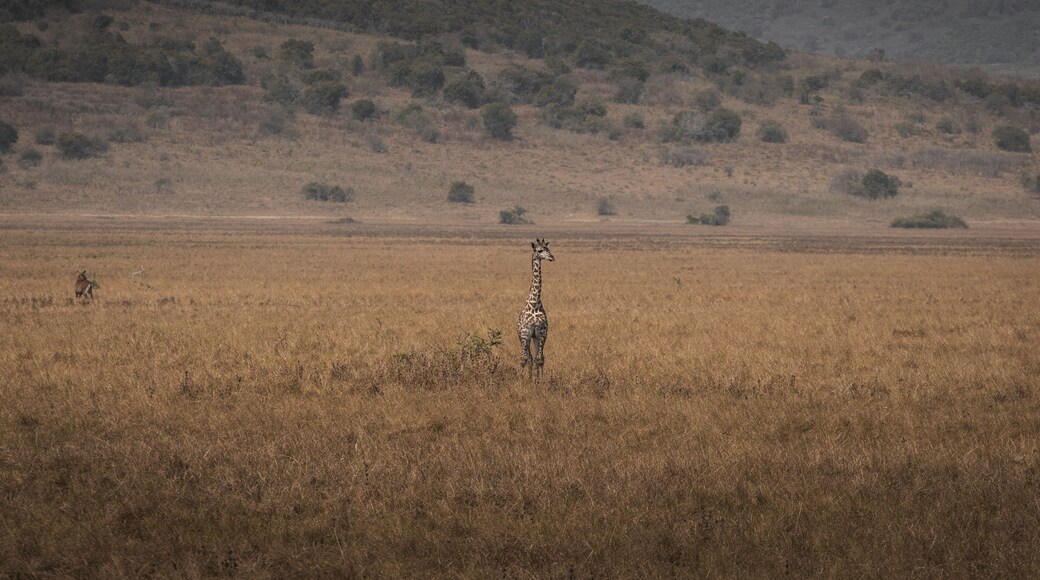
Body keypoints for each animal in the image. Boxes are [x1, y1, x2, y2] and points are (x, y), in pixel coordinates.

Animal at [518, 238, 554, 382]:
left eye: (548, 248)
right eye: (539, 250)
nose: (552, 257)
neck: (534, 304)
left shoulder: (541, 333)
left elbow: (540, 359)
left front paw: (539, 382)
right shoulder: (525, 333)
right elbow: (523, 359)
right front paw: (520, 381)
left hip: (535, 338)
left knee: (536, 358)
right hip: (525, 338)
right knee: (528, 358)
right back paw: (528, 378)